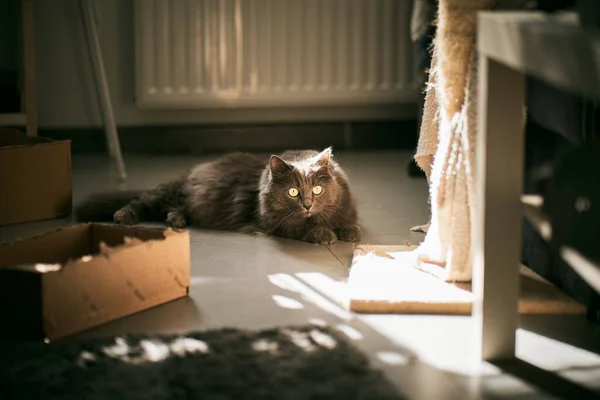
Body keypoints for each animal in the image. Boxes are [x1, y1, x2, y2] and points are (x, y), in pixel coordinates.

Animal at [77, 148, 364, 244]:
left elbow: (349, 220)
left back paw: (176, 221)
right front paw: (323, 233)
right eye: (293, 192)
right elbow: (301, 227)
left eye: (317, 190)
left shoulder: (346, 207)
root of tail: (193, 169)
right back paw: (123, 216)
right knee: (142, 201)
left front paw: (350, 231)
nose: (307, 205)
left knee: (174, 210)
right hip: (168, 193)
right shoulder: (274, 223)